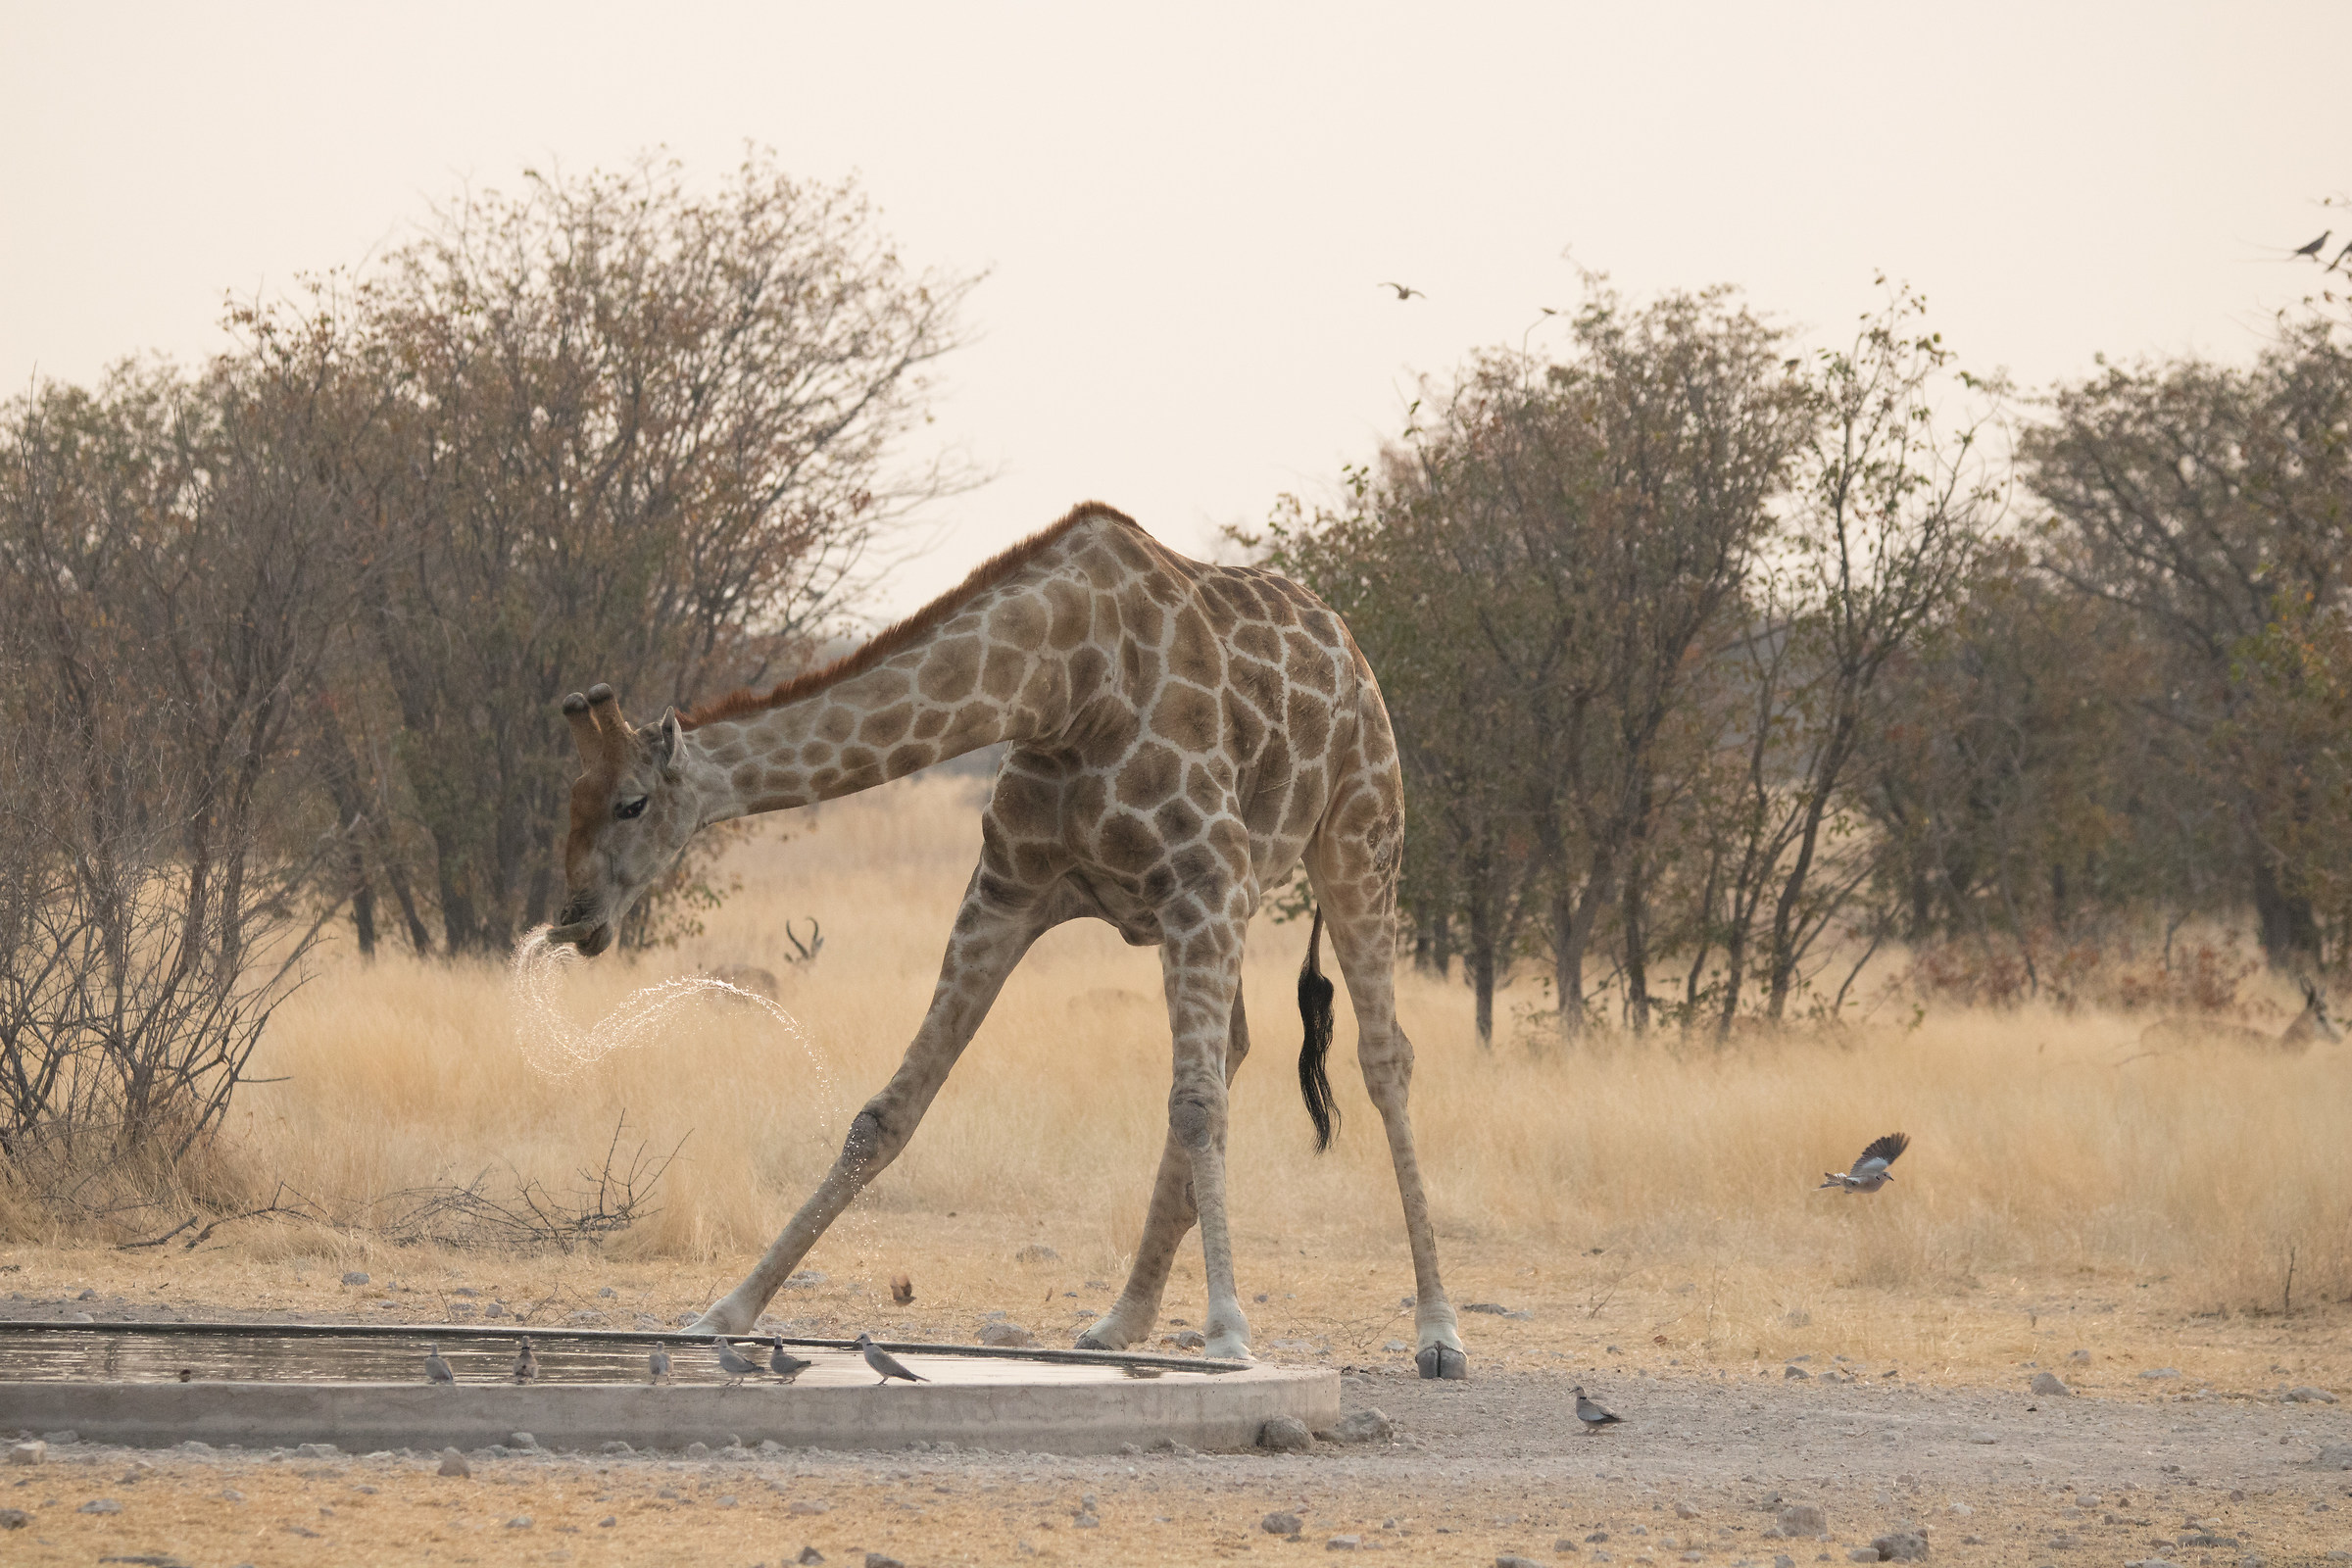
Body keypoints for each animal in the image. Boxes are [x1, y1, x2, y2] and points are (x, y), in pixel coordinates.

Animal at [549, 502, 1468, 1378]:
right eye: (572, 799)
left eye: (631, 802)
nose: (574, 918)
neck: (1065, 683)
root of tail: (1350, 646)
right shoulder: (1008, 889)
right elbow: (887, 1112)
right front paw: (725, 1311)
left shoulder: (1205, 881)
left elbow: (1199, 1105)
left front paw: (1230, 1332)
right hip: (1217, 913)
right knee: (1236, 1045)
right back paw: (1120, 1320)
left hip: (1357, 840)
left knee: (1382, 1057)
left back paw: (1437, 1333)